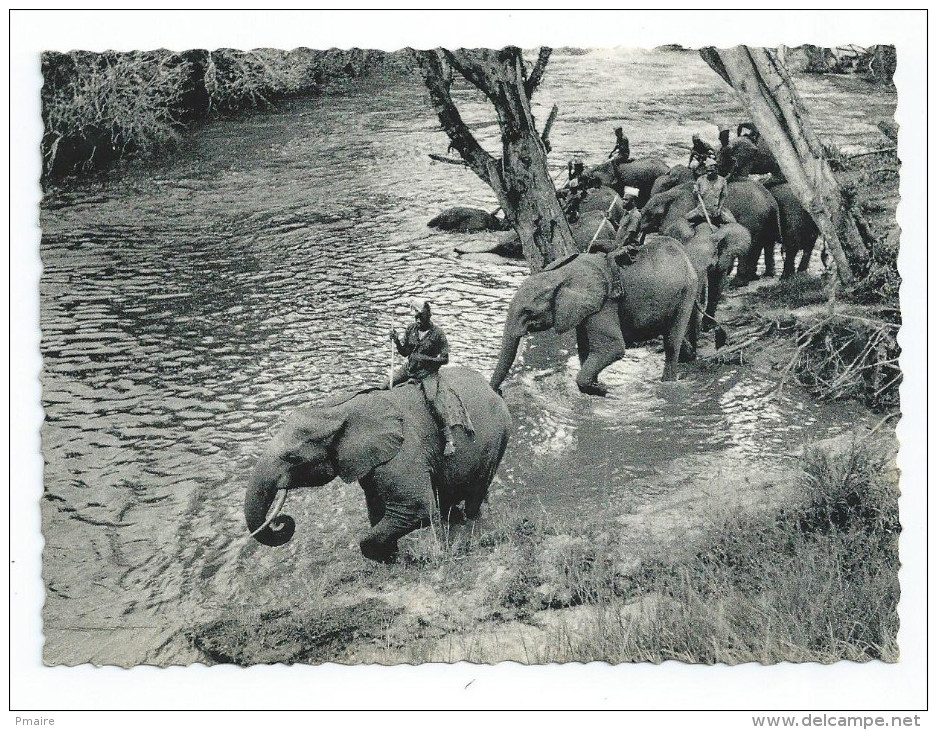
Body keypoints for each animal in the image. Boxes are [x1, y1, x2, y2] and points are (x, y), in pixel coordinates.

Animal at [241, 364, 504, 564]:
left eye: (292, 458)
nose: (280, 522)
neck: (339, 410)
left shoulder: (403, 454)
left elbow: (417, 509)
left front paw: (393, 559)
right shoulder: (370, 463)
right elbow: (376, 508)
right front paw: (392, 556)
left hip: (496, 441)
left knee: (474, 494)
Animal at [486, 237, 700, 392]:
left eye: (528, 312)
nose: (499, 392)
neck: (562, 273)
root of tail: (685, 255)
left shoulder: (604, 303)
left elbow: (612, 347)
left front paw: (602, 389)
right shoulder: (583, 310)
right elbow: (585, 349)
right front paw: (596, 386)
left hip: (687, 292)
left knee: (671, 343)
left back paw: (667, 384)